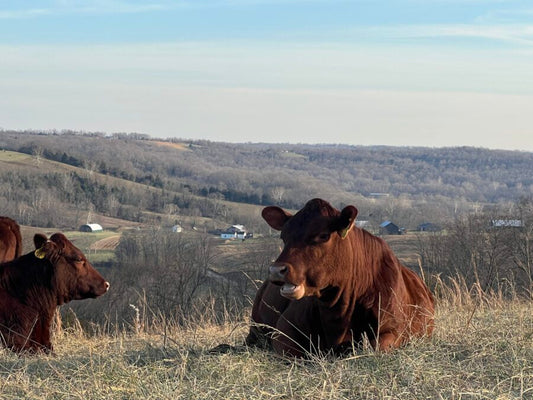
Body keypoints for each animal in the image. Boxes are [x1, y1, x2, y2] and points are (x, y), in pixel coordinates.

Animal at [247, 198, 434, 358]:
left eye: (323, 235)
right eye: (283, 237)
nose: (276, 270)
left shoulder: (392, 330)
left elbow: (375, 346)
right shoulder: (285, 330)